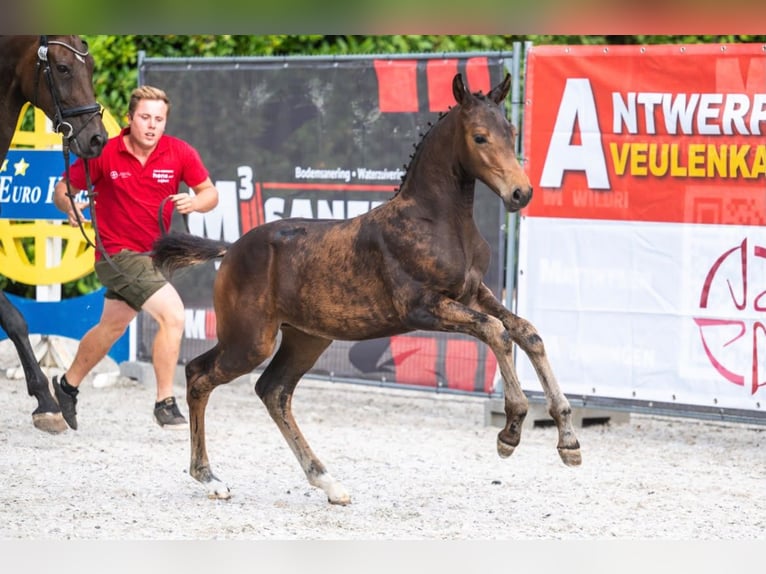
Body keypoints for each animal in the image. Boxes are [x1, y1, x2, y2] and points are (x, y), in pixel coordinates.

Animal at [152, 72, 582, 505]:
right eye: (479, 137)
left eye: (511, 132)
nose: (521, 193)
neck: (438, 221)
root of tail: (231, 249)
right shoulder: (422, 306)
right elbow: (496, 332)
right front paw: (511, 430)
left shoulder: (475, 294)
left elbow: (526, 332)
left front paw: (568, 440)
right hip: (249, 340)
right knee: (199, 376)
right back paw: (209, 477)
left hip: (306, 338)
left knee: (273, 390)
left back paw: (327, 481)